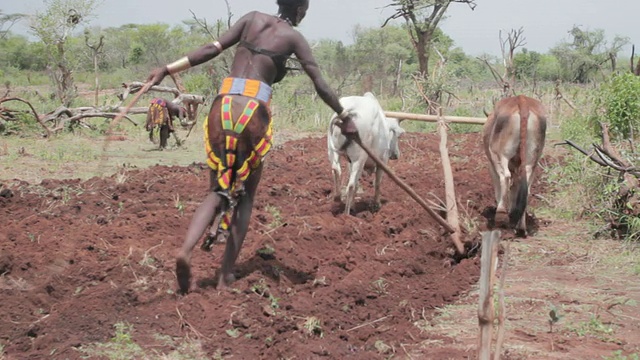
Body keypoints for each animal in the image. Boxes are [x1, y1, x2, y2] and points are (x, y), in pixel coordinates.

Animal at [482, 95, 548, 236]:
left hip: (499, 154)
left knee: (504, 176)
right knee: (526, 187)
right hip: (532, 161)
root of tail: (522, 100)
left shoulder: (491, 165)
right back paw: (521, 227)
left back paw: (501, 215)